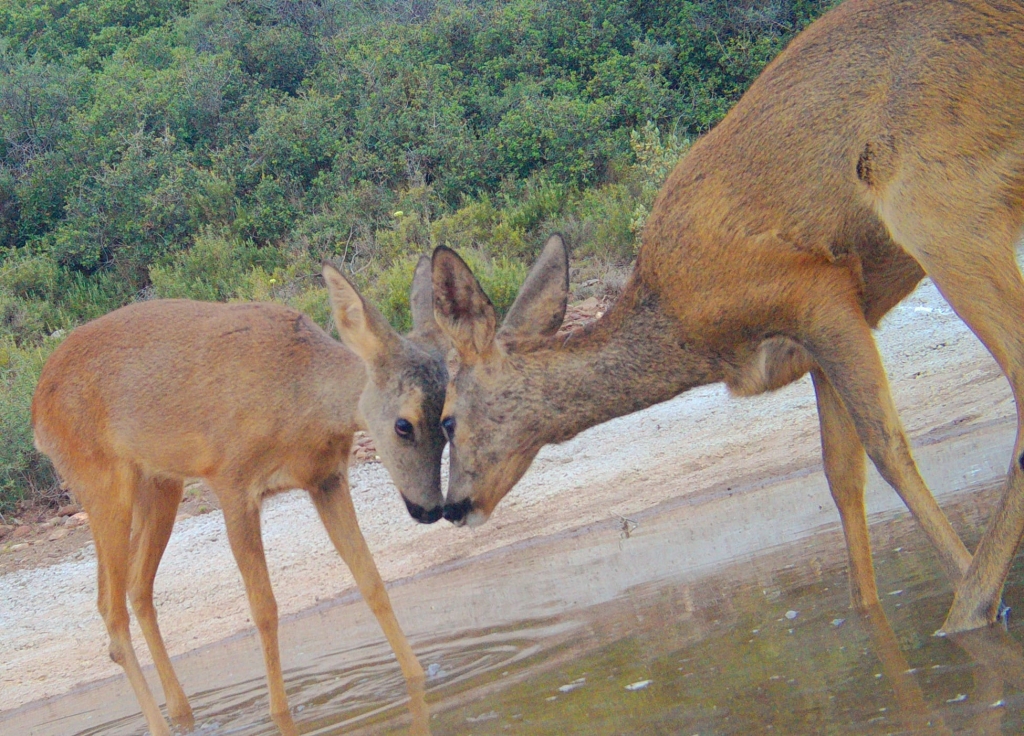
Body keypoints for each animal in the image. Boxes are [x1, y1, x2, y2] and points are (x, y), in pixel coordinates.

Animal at [32, 255, 446, 732]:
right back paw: (160, 723)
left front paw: (419, 680)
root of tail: (36, 409)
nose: (430, 509)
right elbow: (264, 608)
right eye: (403, 424)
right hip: (99, 481)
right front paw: (280, 715)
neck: (300, 398)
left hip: (160, 483)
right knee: (109, 607)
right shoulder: (231, 480)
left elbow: (371, 579)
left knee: (138, 588)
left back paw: (184, 714)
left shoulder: (325, 478)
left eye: (448, 418)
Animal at [432, 0, 1024, 634]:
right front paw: (869, 617)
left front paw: (977, 606)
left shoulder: (816, 289)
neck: (689, 332)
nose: (452, 507)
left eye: (446, 420)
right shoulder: (819, 342)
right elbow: (842, 479)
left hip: (933, 199)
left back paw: (968, 608)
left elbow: (886, 448)